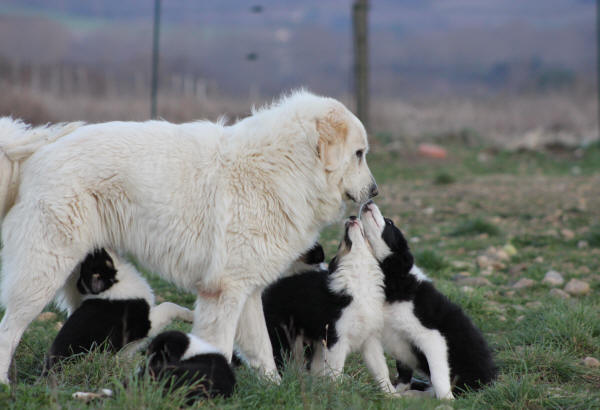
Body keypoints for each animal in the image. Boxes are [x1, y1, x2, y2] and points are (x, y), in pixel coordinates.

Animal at [262, 218, 394, 394]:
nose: (353, 217)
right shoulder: (336, 338)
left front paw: (391, 394)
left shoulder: (370, 338)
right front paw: (337, 392)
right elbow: (336, 368)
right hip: (282, 334)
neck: (359, 277)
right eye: (341, 242)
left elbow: (380, 368)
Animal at [360, 202, 496, 400]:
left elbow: (438, 374)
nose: (368, 202)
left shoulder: (432, 337)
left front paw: (446, 400)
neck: (394, 280)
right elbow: (402, 370)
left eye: (389, 222)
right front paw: (398, 391)